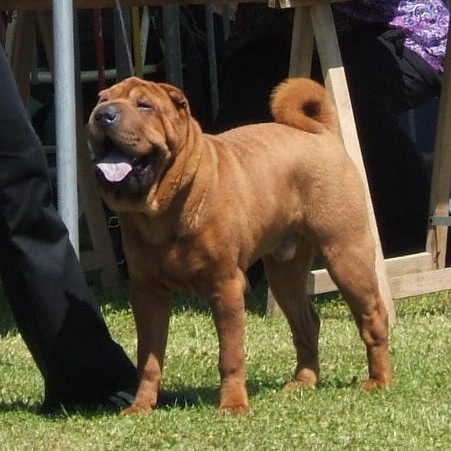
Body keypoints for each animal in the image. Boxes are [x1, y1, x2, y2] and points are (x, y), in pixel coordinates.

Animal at [87, 76, 392, 414]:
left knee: (373, 317)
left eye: (144, 105)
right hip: (285, 274)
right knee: (307, 324)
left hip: (345, 255)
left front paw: (233, 405)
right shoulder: (147, 292)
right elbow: (149, 359)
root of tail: (321, 132)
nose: (103, 115)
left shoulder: (226, 285)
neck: (162, 212)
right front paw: (140, 407)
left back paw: (378, 380)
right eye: (102, 100)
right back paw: (303, 382)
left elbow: (230, 355)